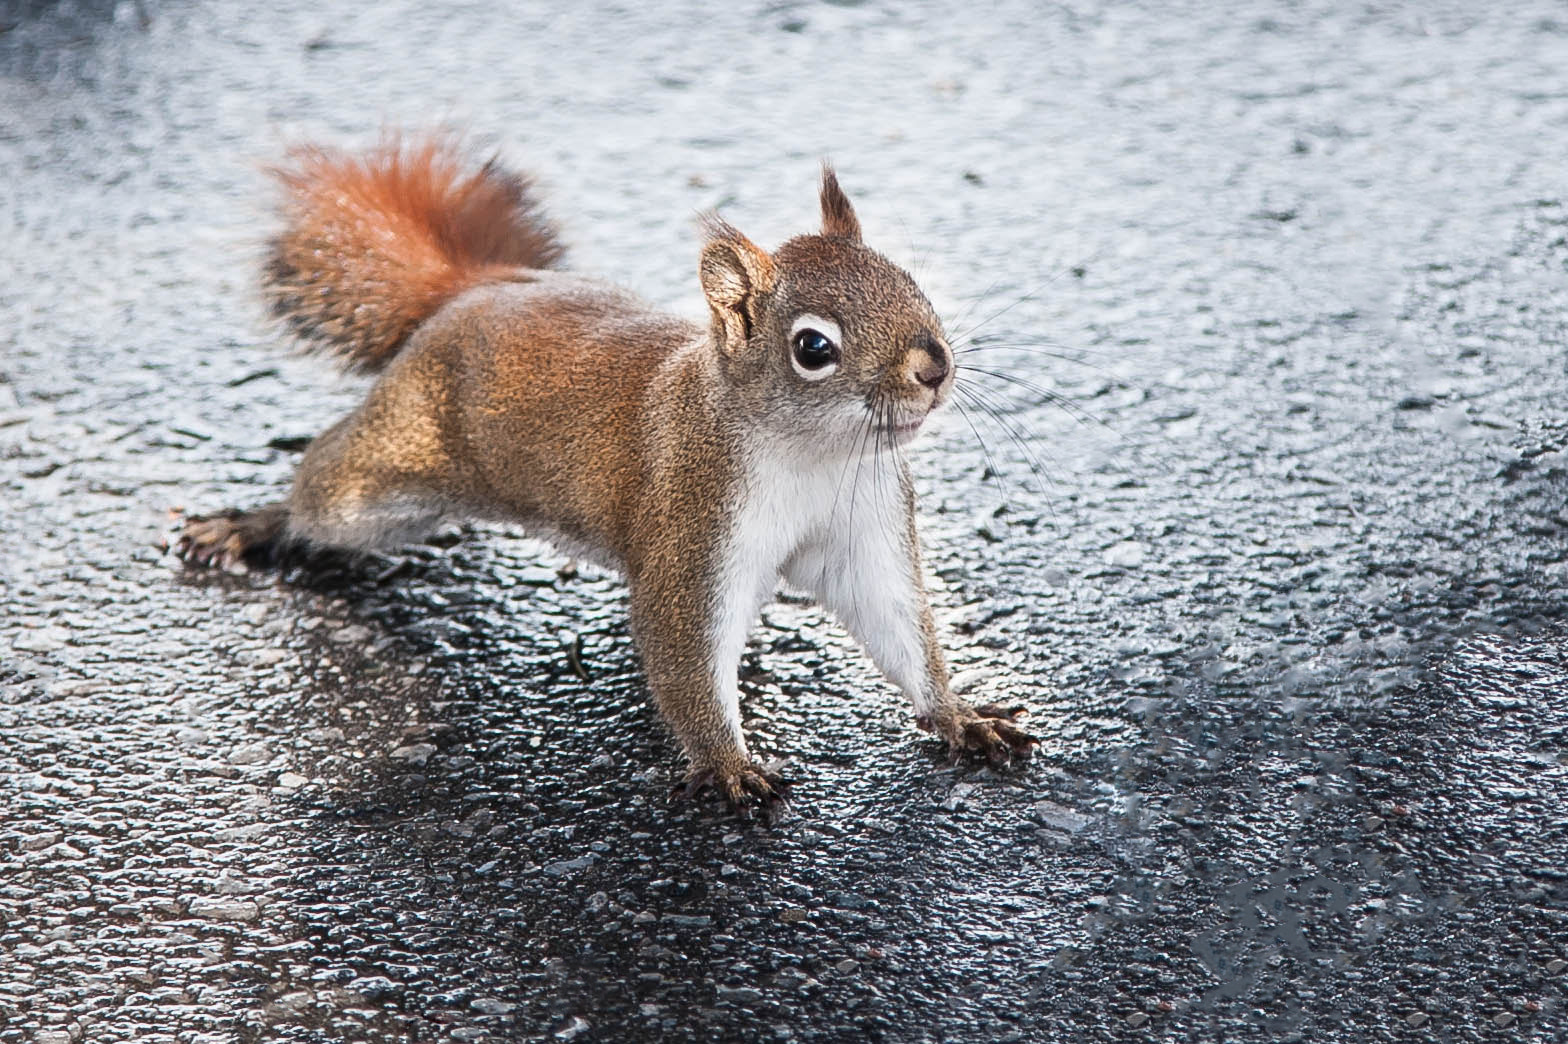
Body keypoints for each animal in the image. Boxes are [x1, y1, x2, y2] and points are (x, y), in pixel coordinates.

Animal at [173, 136, 1036, 812]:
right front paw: (728, 765)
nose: (933, 367)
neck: (813, 455)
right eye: (813, 347)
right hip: (380, 480)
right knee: (321, 494)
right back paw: (249, 527)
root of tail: (481, 286)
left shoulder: (864, 528)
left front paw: (958, 716)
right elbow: (684, 653)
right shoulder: (693, 526)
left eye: (908, 280)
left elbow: (895, 624)